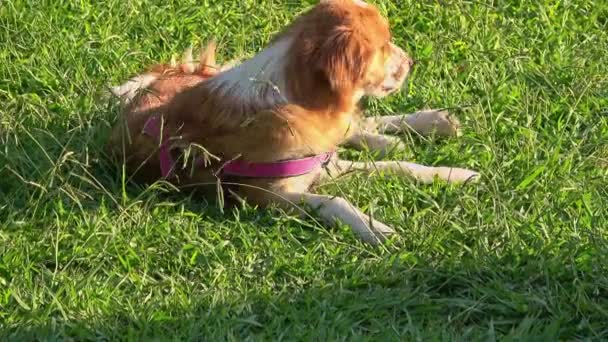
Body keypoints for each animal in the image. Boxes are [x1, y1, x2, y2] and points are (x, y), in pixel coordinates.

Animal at [108, 0, 480, 246]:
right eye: (385, 46)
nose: (412, 61)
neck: (293, 101)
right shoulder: (270, 194)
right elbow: (336, 200)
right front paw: (375, 228)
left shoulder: (323, 162)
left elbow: (401, 166)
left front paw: (452, 174)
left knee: (359, 124)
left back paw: (432, 123)